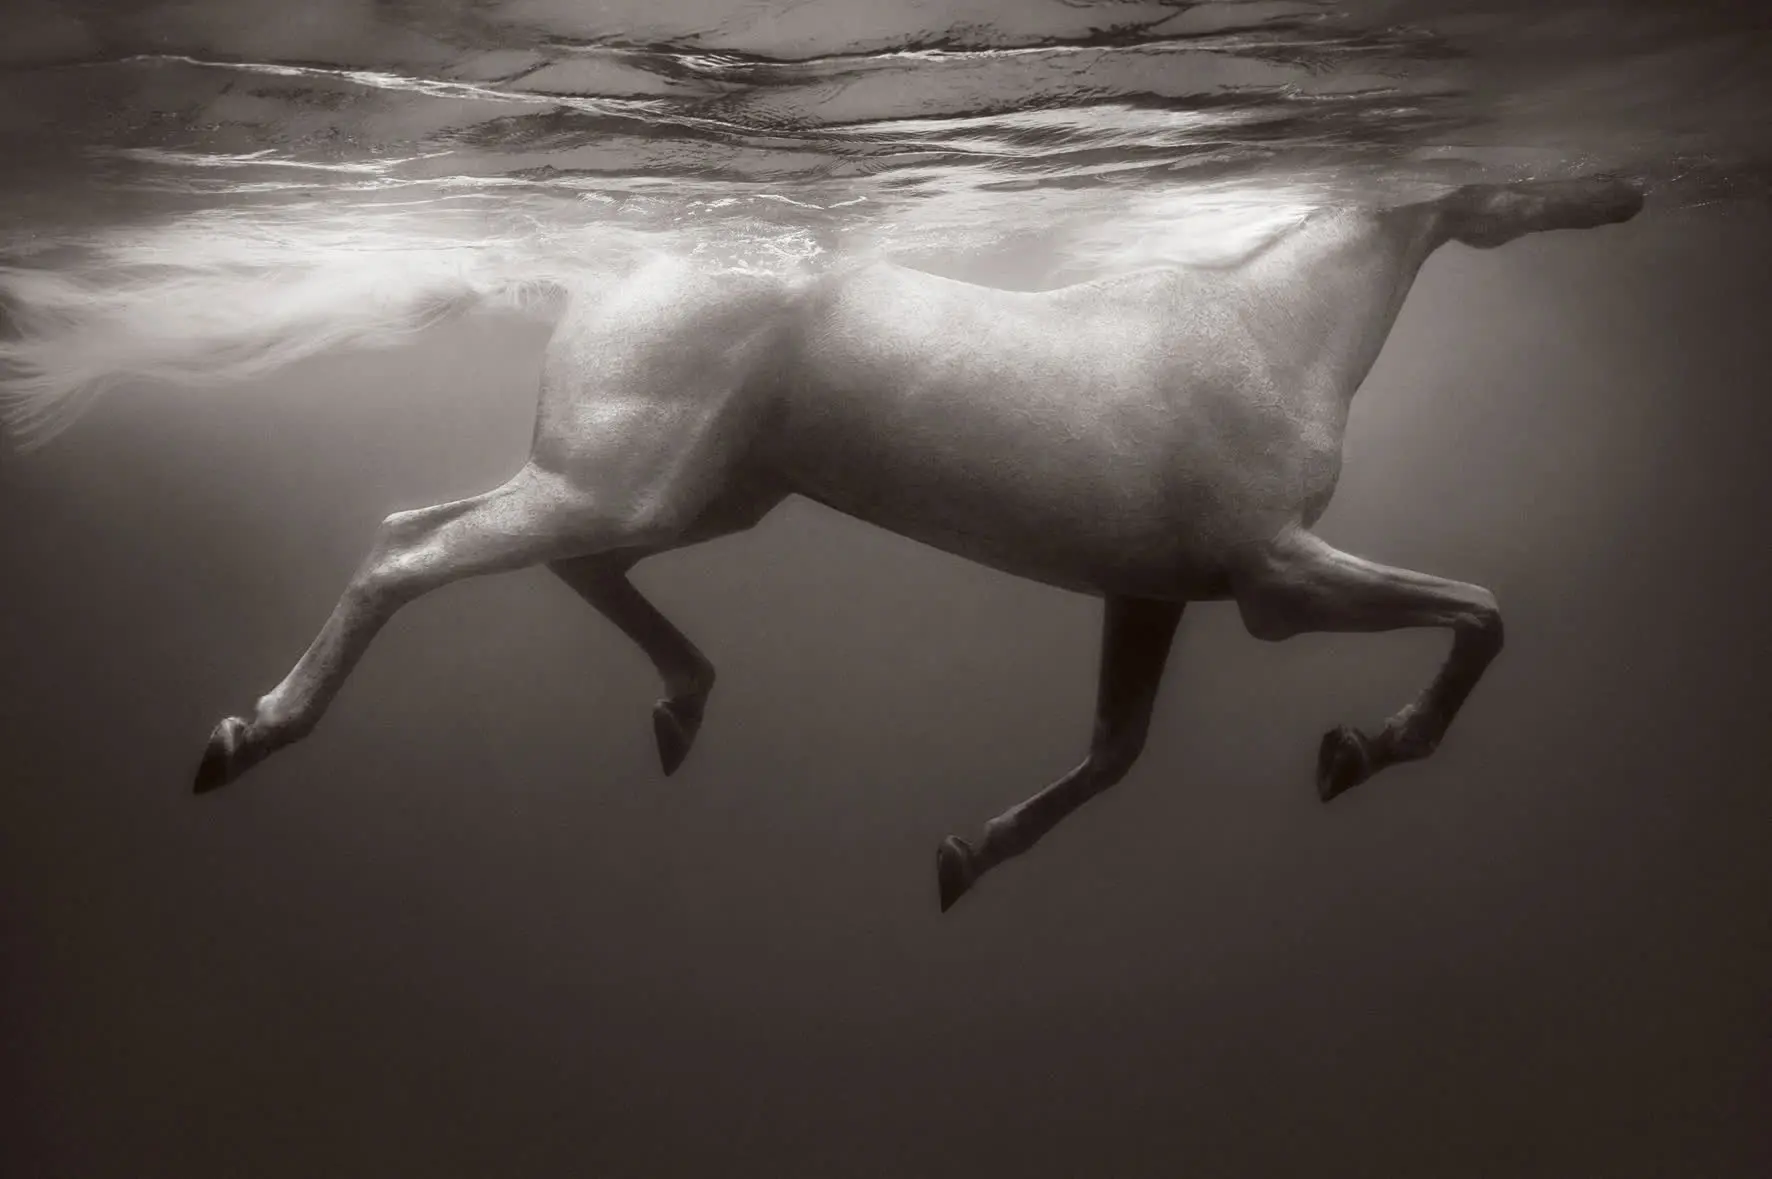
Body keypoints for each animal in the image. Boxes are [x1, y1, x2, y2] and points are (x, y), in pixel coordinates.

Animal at [172, 174, 1637, 907]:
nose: (1620, 192)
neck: (1271, 329)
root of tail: (614, 267)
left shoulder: (1151, 591)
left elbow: (1112, 753)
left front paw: (965, 854)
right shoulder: (1273, 580)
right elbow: (1482, 610)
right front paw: (1363, 747)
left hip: (687, 492)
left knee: (505, 545)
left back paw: (682, 705)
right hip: (626, 481)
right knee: (405, 555)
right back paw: (246, 733)